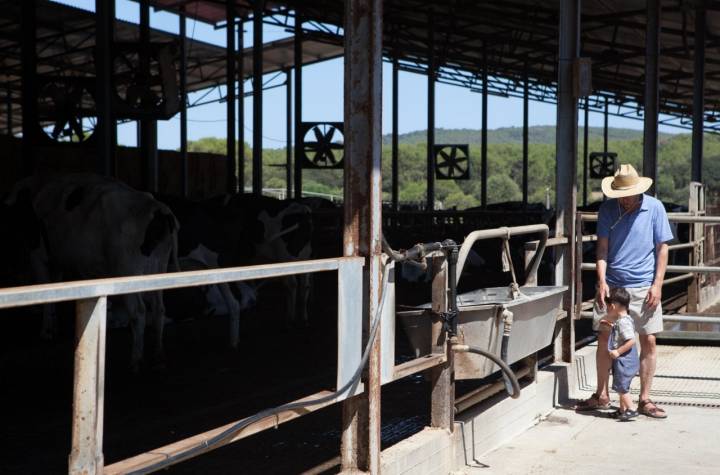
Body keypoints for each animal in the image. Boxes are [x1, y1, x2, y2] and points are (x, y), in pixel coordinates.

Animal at [6, 175, 180, 372]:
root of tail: (158, 208)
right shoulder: (57, 260)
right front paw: (54, 326)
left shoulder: (37, 254)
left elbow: (46, 293)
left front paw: (47, 331)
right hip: (158, 268)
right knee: (159, 309)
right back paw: (159, 358)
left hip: (127, 270)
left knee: (139, 312)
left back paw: (136, 361)